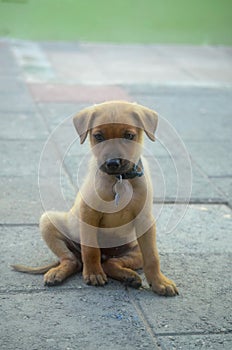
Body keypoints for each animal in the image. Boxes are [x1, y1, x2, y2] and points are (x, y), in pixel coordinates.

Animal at [12, 100, 179, 296]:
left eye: (129, 135)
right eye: (98, 136)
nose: (112, 163)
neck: (118, 179)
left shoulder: (145, 220)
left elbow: (153, 256)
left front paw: (160, 282)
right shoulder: (89, 213)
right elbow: (90, 250)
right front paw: (93, 274)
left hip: (134, 249)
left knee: (109, 263)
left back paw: (129, 276)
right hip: (48, 221)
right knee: (73, 260)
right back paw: (58, 273)